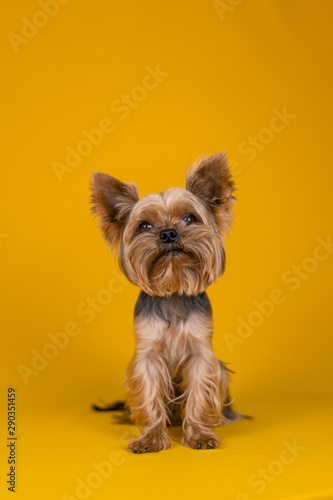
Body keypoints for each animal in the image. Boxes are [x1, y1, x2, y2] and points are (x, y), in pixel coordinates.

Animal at [91, 152, 244, 454]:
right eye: (145, 226)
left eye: (189, 217)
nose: (169, 233)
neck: (173, 288)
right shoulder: (147, 355)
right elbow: (149, 395)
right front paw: (150, 438)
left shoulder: (200, 353)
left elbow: (199, 393)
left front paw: (200, 435)